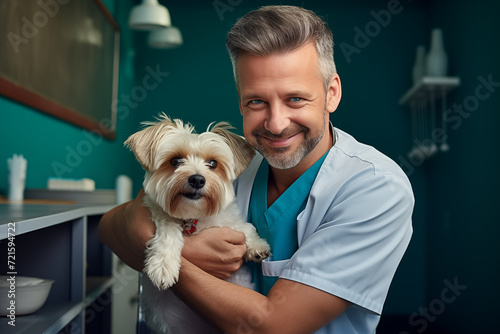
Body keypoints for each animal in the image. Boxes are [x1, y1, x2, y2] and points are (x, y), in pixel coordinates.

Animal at [127, 113, 272, 332]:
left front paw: (256, 245)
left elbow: (243, 227)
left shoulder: (229, 219)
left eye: (213, 163)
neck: (193, 216)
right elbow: (168, 230)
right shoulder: (157, 211)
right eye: (175, 160)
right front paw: (163, 264)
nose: (197, 179)